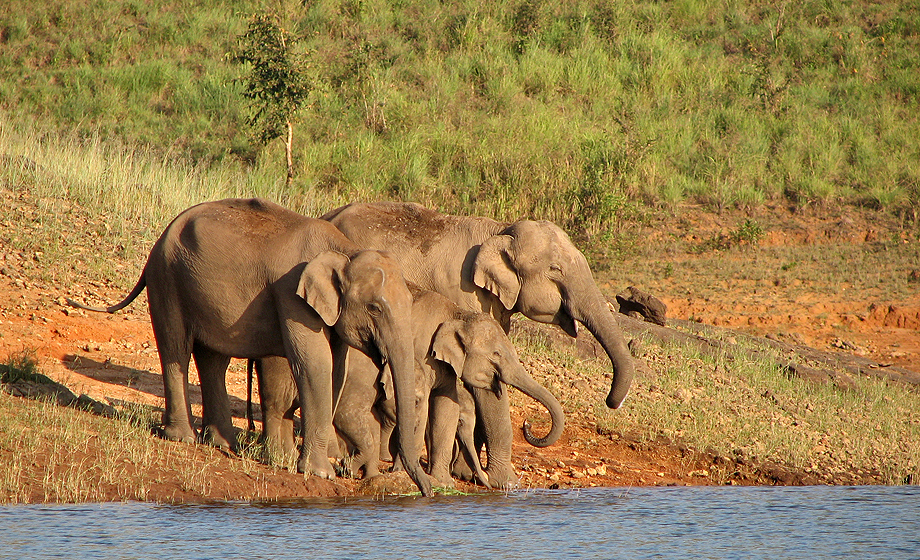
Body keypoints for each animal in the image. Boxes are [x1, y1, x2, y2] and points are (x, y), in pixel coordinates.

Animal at [70, 199, 434, 496]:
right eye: (375, 308)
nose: (428, 492)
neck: (345, 250)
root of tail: (161, 239)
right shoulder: (292, 296)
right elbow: (314, 364)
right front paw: (321, 474)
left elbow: (336, 369)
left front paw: (313, 467)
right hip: (168, 278)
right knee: (176, 348)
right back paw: (183, 438)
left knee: (212, 358)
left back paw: (221, 443)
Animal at [326, 200, 640, 486]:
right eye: (555, 269)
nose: (611, 401)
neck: (499, 231)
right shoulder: (465, 293)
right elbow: (483, 386)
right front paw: (507, 484)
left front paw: (467, 475)